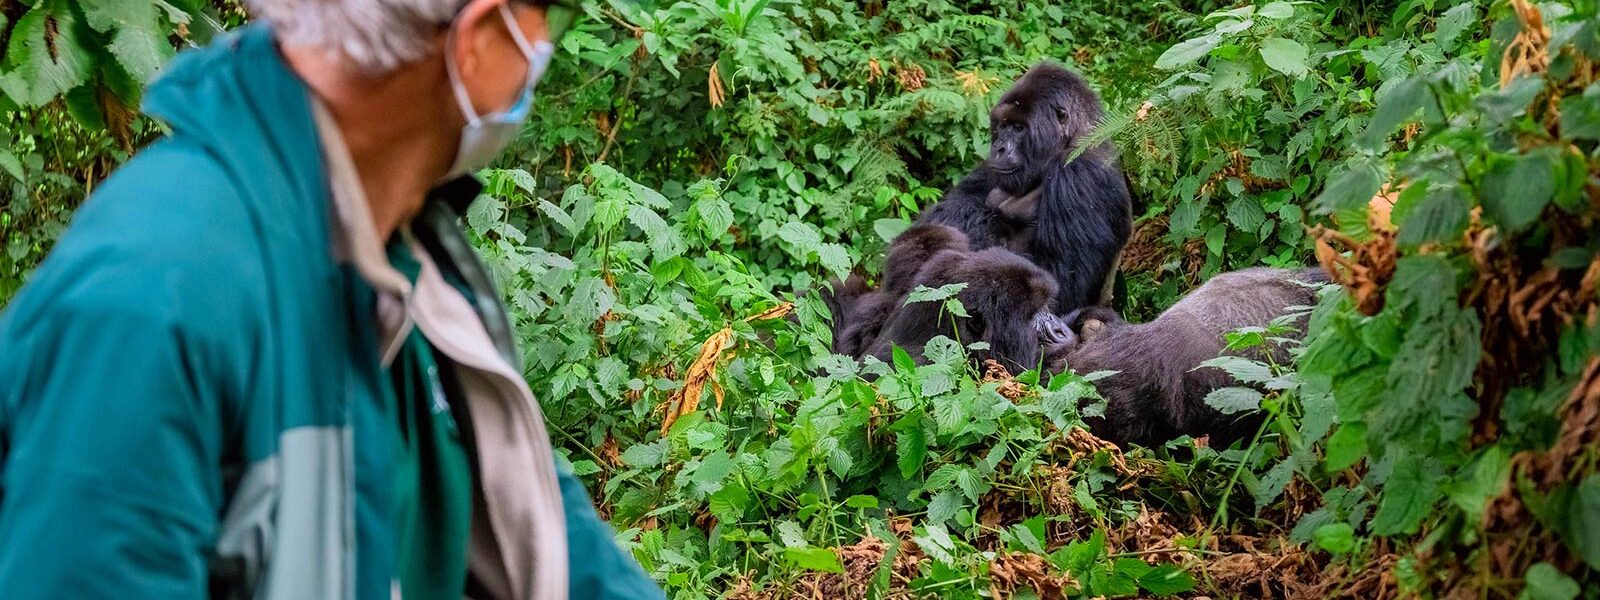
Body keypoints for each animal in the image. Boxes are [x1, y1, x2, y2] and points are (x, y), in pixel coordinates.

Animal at [915, 61, 1139, 315]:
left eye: (1019, 128)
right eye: (1003, 126)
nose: (999, 148)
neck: (1077, 136)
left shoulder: (1080, 174)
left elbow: (1059, 282)